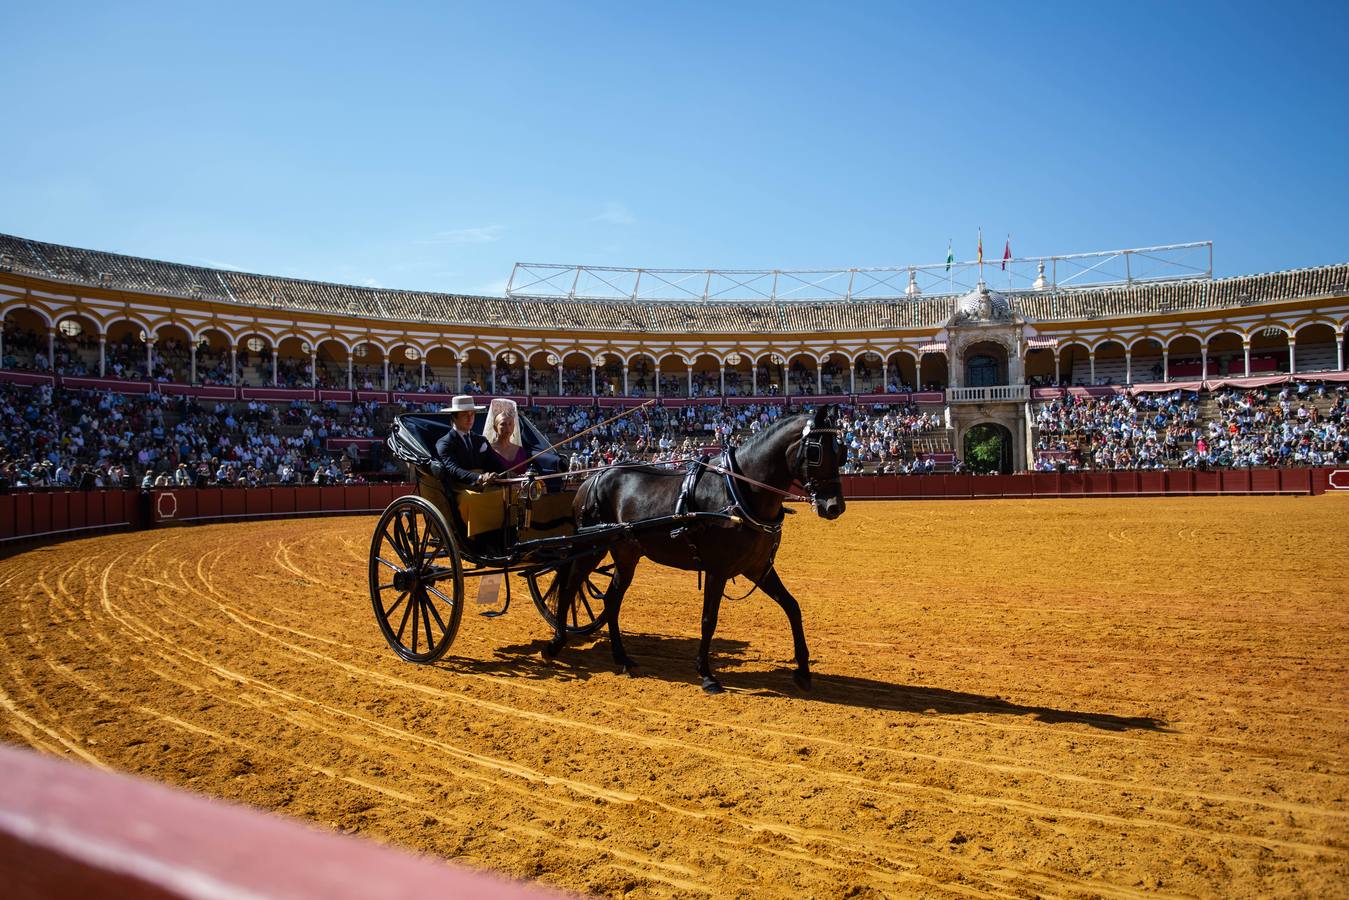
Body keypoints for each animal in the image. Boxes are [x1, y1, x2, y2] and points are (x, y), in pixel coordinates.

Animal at [539, 404, 841, 696]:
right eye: (816, 452)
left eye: (841, 451)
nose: (834, 507)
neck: (738, 491)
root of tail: (593, 477)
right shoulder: (717, 570)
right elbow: (709, 619)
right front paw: (706, 675)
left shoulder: (758, 568)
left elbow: (792, 607)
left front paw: (803, 672)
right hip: (590, 546)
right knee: (569, 587)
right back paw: (556, 644)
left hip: (626, 554)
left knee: (611, 600)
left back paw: (622, 658)